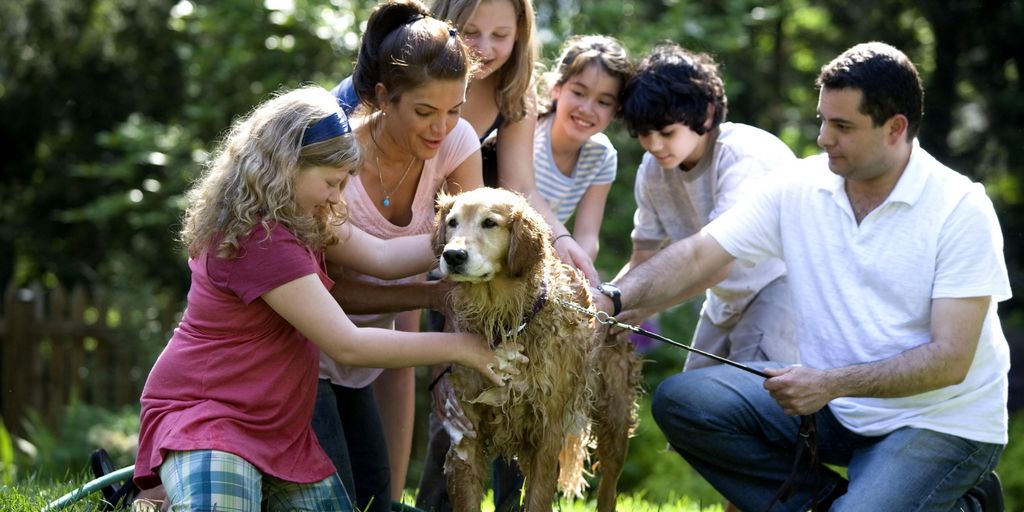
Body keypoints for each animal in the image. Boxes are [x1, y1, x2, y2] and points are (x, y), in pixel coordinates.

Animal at [430, 188, 638, 512]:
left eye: (489, 223)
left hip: (615, 422)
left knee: (608, 490)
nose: (452, 255)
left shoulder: (546, 435)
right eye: (452, 222)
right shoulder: (466, 436)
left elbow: (539, 498)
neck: (504, 321)